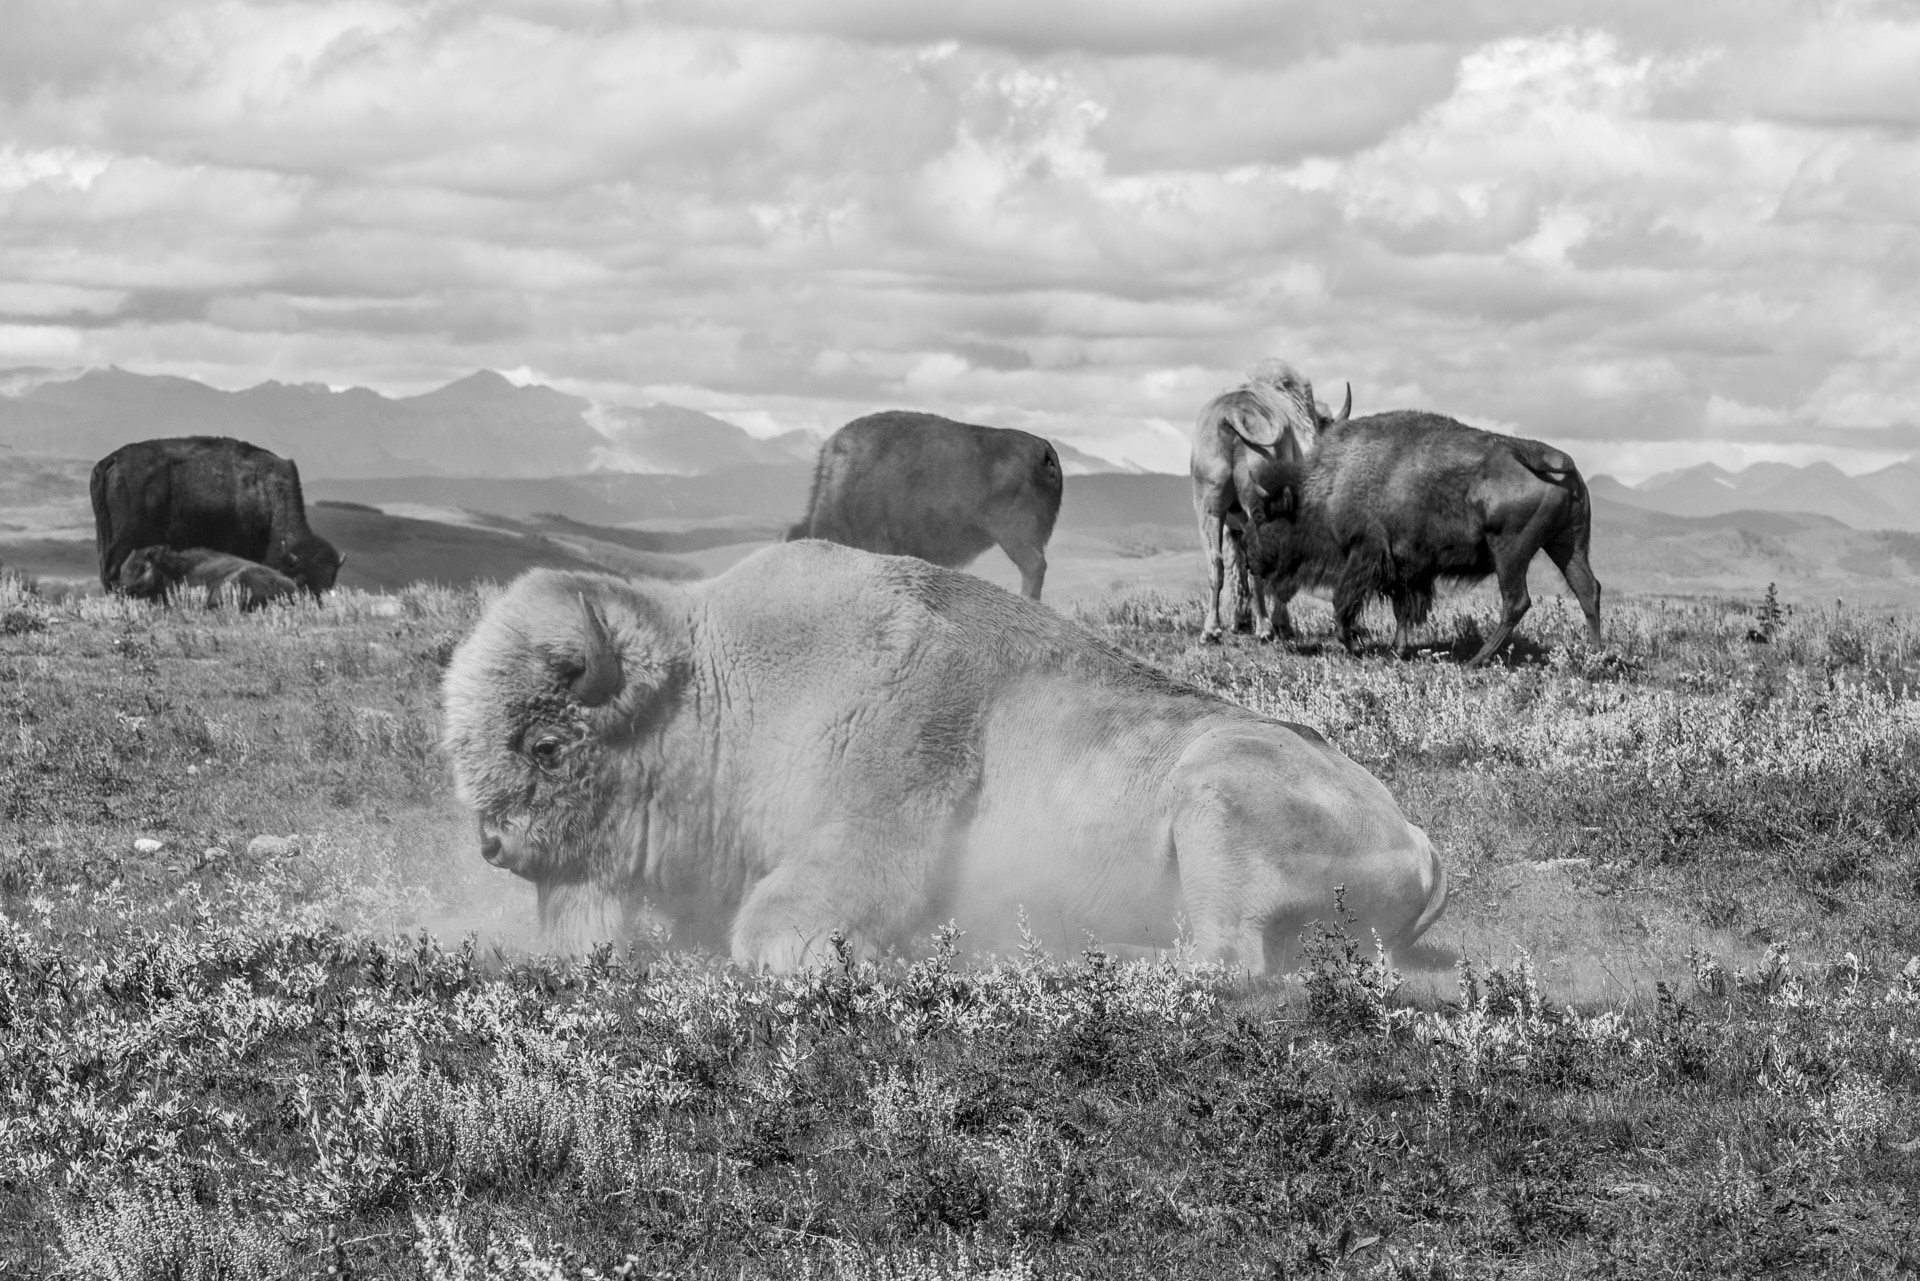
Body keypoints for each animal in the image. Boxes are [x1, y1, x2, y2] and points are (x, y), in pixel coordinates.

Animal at [91, 437, 342, 597]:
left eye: (330, 582)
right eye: (300, 579)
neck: (267, 494)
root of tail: (112, 460)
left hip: (104, 535)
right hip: (125, 538)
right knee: (112, 572)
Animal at [440, 543, 1447, 974]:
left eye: (545, 742)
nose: (492, 845)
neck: (719, 680)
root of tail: (1419, 837)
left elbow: (773, 933)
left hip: (1216, 800)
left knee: (1226, 960)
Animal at [1190, 360, 1349, 641]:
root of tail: (1233, 414)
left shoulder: (1233, 527)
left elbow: (1236, 569)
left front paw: (1240, 621)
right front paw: (1282, 624)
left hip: (1210, 509)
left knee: (1217, 563)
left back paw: (1212, 630)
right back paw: (1265, 628)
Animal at [1246, 410, 1603, 665]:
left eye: (1263, 516)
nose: (1250, 561)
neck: (1329, 485)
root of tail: (1551, 458)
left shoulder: (1366, 555)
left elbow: (1343, 601)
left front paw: (1354, 644)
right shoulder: (1405, 568)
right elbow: (1401, 609)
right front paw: (1397, 650)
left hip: (1510, 552)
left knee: (1517, 601)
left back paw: (1475, 661)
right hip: (1565, 544)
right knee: (1588, 590)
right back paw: (1597, 657)